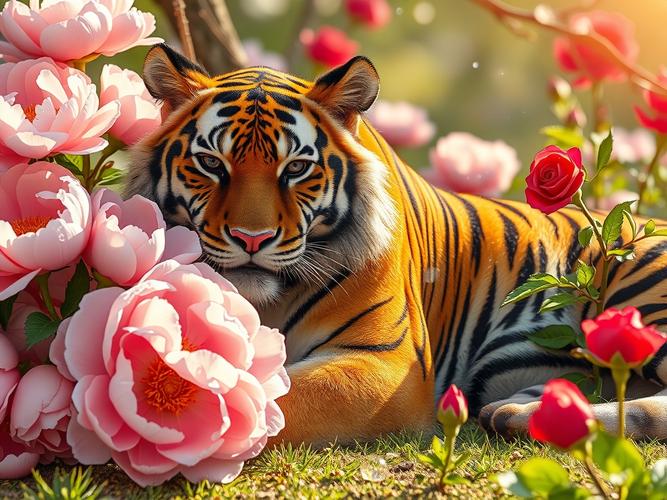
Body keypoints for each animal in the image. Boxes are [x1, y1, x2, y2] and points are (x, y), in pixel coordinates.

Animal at [126, 43, 667, 446]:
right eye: (211, 163)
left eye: (296, 168)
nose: (250, 239)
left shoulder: (388, 363)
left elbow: (279, 395)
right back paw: (520, 412)